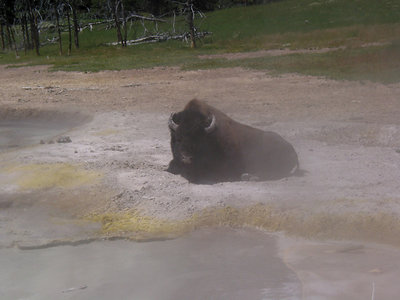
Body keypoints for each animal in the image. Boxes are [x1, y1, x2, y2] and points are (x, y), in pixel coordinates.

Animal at [166, 98, 300, 183]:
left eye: (198, 139)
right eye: (178, 138)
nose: (186, 156)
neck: (211, 137)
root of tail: (293, 151)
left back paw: (248, 177)